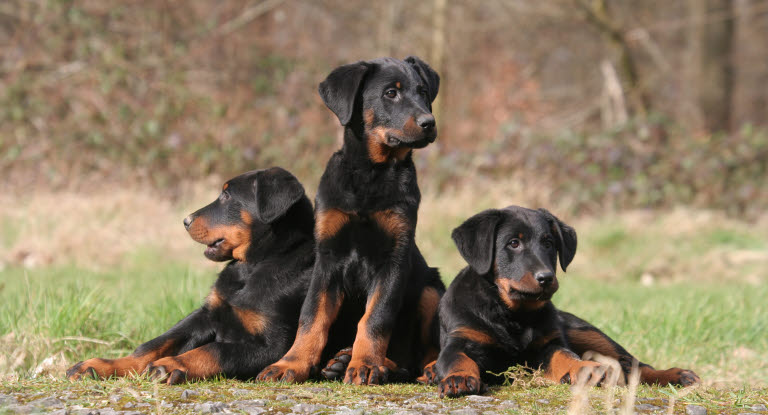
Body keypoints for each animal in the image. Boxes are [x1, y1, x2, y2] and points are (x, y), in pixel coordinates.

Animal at [65, 167, 318, 386]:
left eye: (227, 195)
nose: (185, 221)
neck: (254, 266)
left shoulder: (273, 346)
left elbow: (215, 350)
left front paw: (171, 365)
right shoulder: (206, 315)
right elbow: (155, 344)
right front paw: (102, 365)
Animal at [258, 57, 444, 386]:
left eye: (423, 91)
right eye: (390, 93)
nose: (429, 123)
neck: (371, 173)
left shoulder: (394, 259)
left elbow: (376, 317)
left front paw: (366, 364)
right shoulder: (328, 259)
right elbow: (311, 316)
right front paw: (291, 363)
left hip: (431, 290)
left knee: (420, 355)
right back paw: (343, 361)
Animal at [428, 206, 700, 398]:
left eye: (549, 243)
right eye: (513, 243)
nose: (546, 278)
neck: (512, 314)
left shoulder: (549, 344)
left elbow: (565, 356)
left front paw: (584, 369)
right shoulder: (461, 338)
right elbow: (456, 358)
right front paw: (458, 378)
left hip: (585, 331)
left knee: (634, 364)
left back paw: (678, 375)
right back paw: (430, 370)